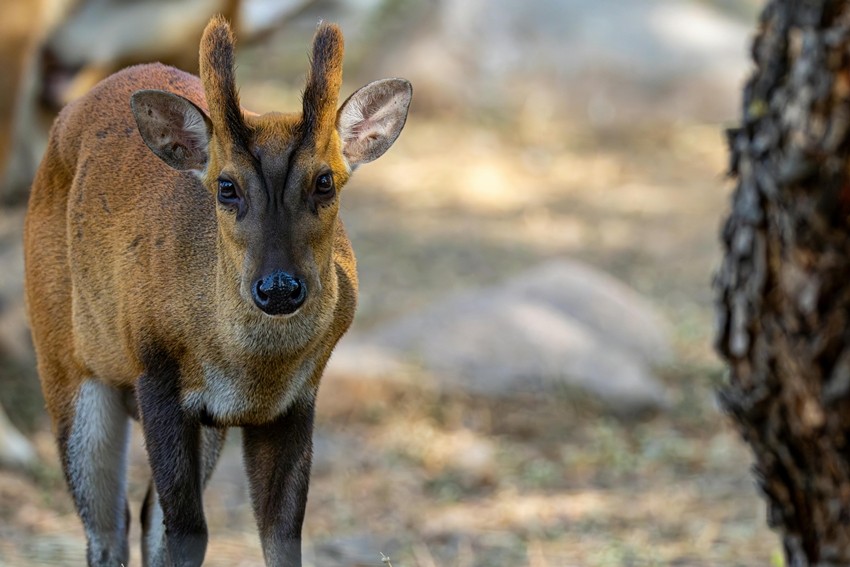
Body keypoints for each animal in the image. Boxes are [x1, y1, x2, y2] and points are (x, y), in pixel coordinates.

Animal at [23, 15, 411, 567]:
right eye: (227, 187)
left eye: (324, 182)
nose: (278, 288)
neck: (254, 370)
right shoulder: (156, 370)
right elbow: (188, 532)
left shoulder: (296, 399)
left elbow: (281, 535)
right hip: (65, 361)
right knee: (107, 526)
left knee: (146, 517)